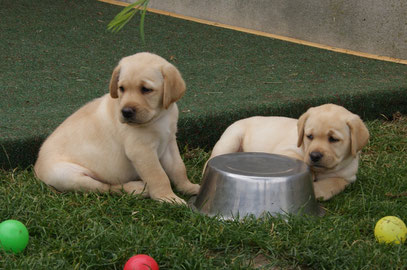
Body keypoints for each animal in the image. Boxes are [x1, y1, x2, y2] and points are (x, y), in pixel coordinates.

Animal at [35, 52, 201, 205]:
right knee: (106, 187)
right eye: (121, 88)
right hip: (69, 175)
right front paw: (167, 197)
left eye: (146, 89)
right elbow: (158, 175)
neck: (158, 117)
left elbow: (178, 168)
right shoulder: (141, 151)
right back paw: (138, 189)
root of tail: (36, 168)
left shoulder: (169, 142)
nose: (126, 112)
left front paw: (188, 187)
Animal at [209, 104, 372, 200]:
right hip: (229, 141)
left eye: (333, 139)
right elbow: (298, 160)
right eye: (309, 136)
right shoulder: (285, 150)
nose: (314, 156)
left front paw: (318, 191)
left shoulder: (349, 176)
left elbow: (335, 182)